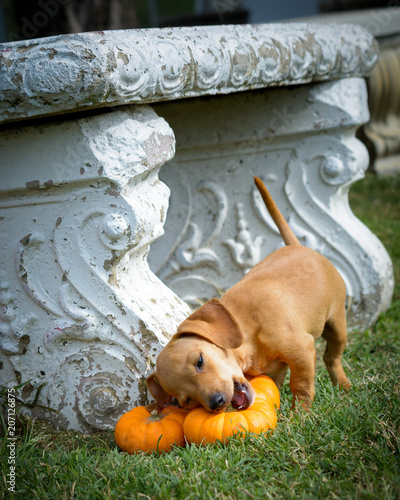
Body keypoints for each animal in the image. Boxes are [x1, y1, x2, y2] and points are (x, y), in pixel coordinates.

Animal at [147, 178, 350, 412]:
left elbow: (301, 385)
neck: (248, 332)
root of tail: (298, 246)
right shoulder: (273, 369)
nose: (217, 402)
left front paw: (300, 414)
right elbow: (275, 387)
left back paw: (343, 385)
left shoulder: (302, 350)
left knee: (332, 356)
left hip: (337, 325)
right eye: (186, 401)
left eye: (199, 361)